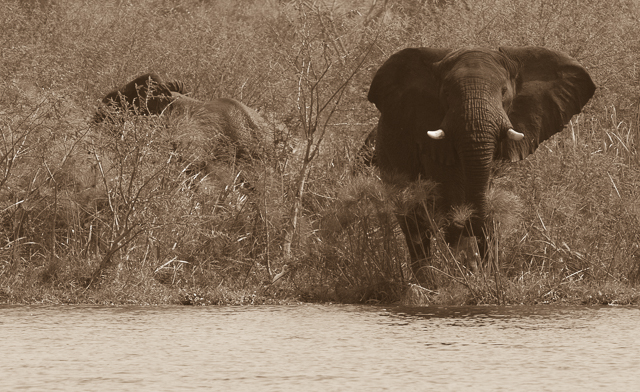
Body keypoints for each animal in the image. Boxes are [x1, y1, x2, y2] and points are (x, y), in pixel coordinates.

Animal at [368, 46, 596, 284]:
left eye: (504, 92)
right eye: (446, 94)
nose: (464, 224)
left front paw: (488, 276)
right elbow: (450, 187)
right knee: (413, 224)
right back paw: (427, 283)